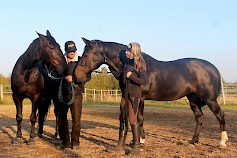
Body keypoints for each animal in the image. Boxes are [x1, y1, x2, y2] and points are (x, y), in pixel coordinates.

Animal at [73, 37, 228, 148]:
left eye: (87, 54)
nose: (76, 75)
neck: (134, 65)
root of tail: (213, 68)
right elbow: (135, 118)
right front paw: (137, 140)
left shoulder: (139, 97)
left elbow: (139, 118)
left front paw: (140, 141)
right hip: (193, 99)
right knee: (199, 118)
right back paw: (194, 141)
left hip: (210, 99)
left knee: (220, 115)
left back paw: (222, 142)